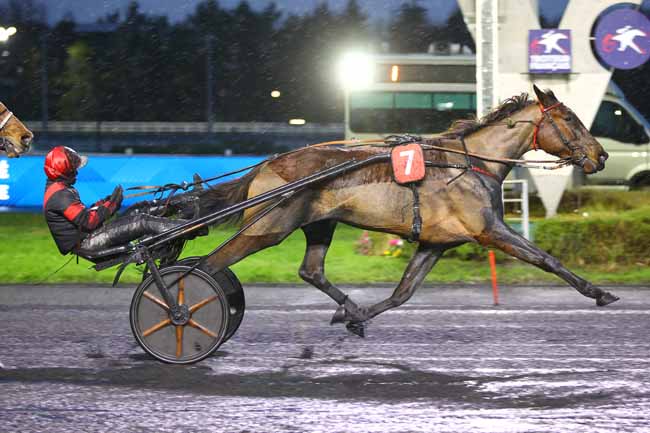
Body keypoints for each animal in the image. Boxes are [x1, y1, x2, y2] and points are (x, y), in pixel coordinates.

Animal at [192, 84, 612, 334]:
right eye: (570, 119)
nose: (601, 155)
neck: (471, 162)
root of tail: (266, 164)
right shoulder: (488, 229)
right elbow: (546, 258)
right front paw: (599, 292)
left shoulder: (436, 242)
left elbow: (403, 293)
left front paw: (357, 317)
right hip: (268, 228)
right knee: (207, 267)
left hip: (319, 224)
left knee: (310, 270)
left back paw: (348, 307)